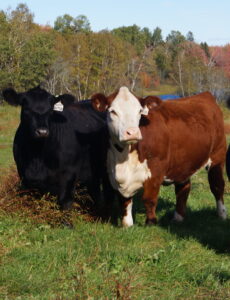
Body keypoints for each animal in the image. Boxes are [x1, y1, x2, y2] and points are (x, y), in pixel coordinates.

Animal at [91, 86, 226, 227]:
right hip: (183, 163)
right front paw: (127, 225)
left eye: (140, 111)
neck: (123, 158)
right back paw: (178, 218)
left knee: (217, 186)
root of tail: (205, 95)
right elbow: (125, 201)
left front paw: (151, 223)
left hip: (218, 156)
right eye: (112, 111)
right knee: (183, 188)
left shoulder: (156, 170)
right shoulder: (113, 174)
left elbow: (149, 199)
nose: (132, 132)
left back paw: (222, 214)